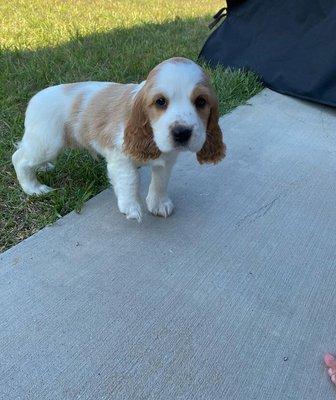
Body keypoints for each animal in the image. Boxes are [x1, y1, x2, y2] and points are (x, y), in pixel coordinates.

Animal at [12, 57, 226, 222]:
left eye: (201, 101)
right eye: (160, 101)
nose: (182, 133)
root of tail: (35, 98)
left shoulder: (166, 160)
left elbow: (160, 181)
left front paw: (159, 204)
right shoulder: (119, 157)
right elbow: (130, 179)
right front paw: (130, 207)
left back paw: (43, 168)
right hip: (47, 142)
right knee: (19, 158)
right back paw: (34, 188)